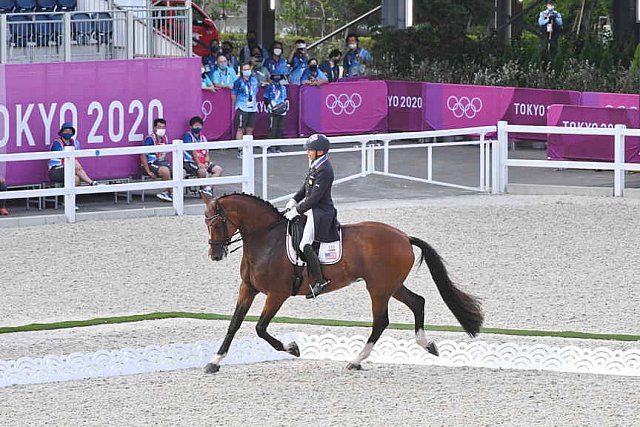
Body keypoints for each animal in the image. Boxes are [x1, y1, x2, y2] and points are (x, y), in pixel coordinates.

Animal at [202, 194, 482, 374]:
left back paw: (356, 360)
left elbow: (260, 328)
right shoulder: (247, 288)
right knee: (417, 302)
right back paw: (427, 345)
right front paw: (215, 361)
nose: (214, 255)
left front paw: (293, 348)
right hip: (390, 285)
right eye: (205, 222)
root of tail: (403, 236)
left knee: (381, 321)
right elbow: (234, 324)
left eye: (217, 222)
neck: (266, 239)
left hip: (378, 289)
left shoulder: (277, 294)